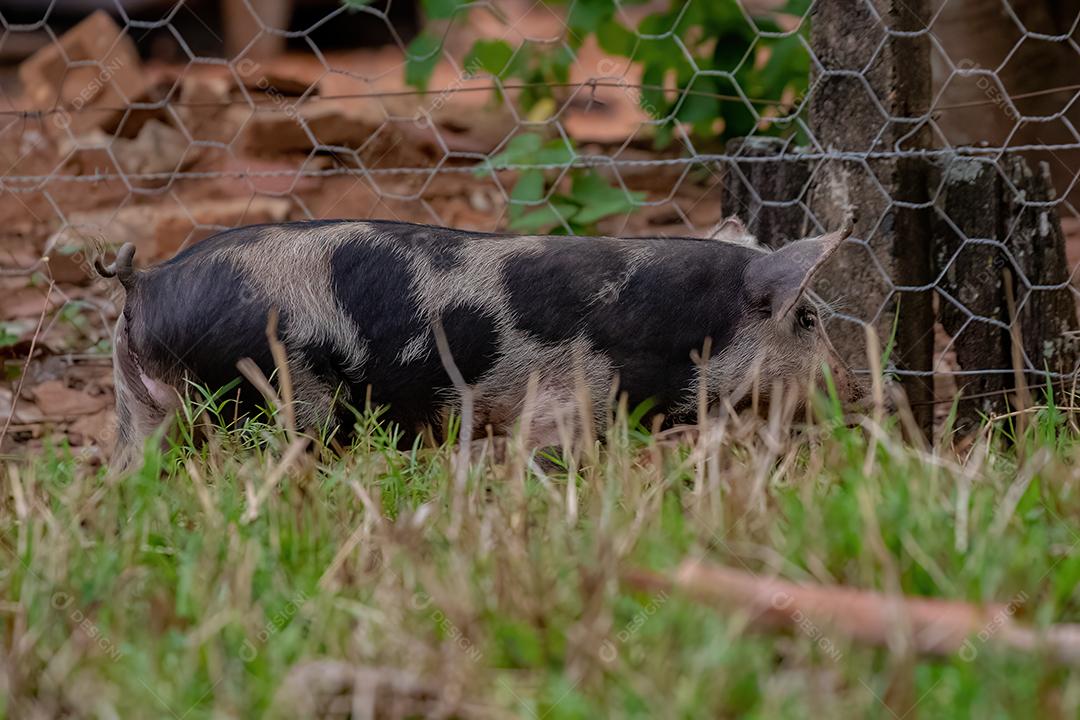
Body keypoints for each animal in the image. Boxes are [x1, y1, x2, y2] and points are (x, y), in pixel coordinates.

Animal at [95, 217, 857, 470]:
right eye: (809, 320)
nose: (852, 386)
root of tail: (145, 282)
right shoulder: (569, 397)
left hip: (141, 407)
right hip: (284, 396)